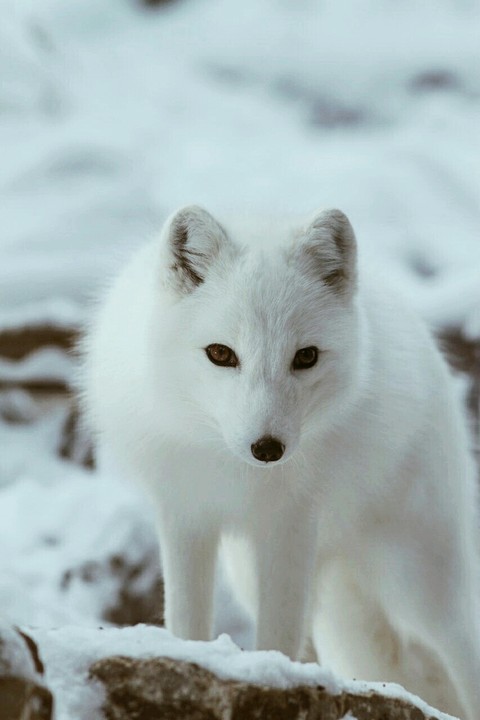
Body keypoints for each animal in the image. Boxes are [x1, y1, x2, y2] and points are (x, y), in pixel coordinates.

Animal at [82, 205, 480, 719]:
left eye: (306, 357)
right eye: (220, 354)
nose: (267, 448)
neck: (234, 471)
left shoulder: (291, 524)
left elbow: (279, 633)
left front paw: (270, 679)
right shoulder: (185, 514)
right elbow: (186, 620)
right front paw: (191, 663)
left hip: (419, 584)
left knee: (462, 655)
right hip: (278, 585)